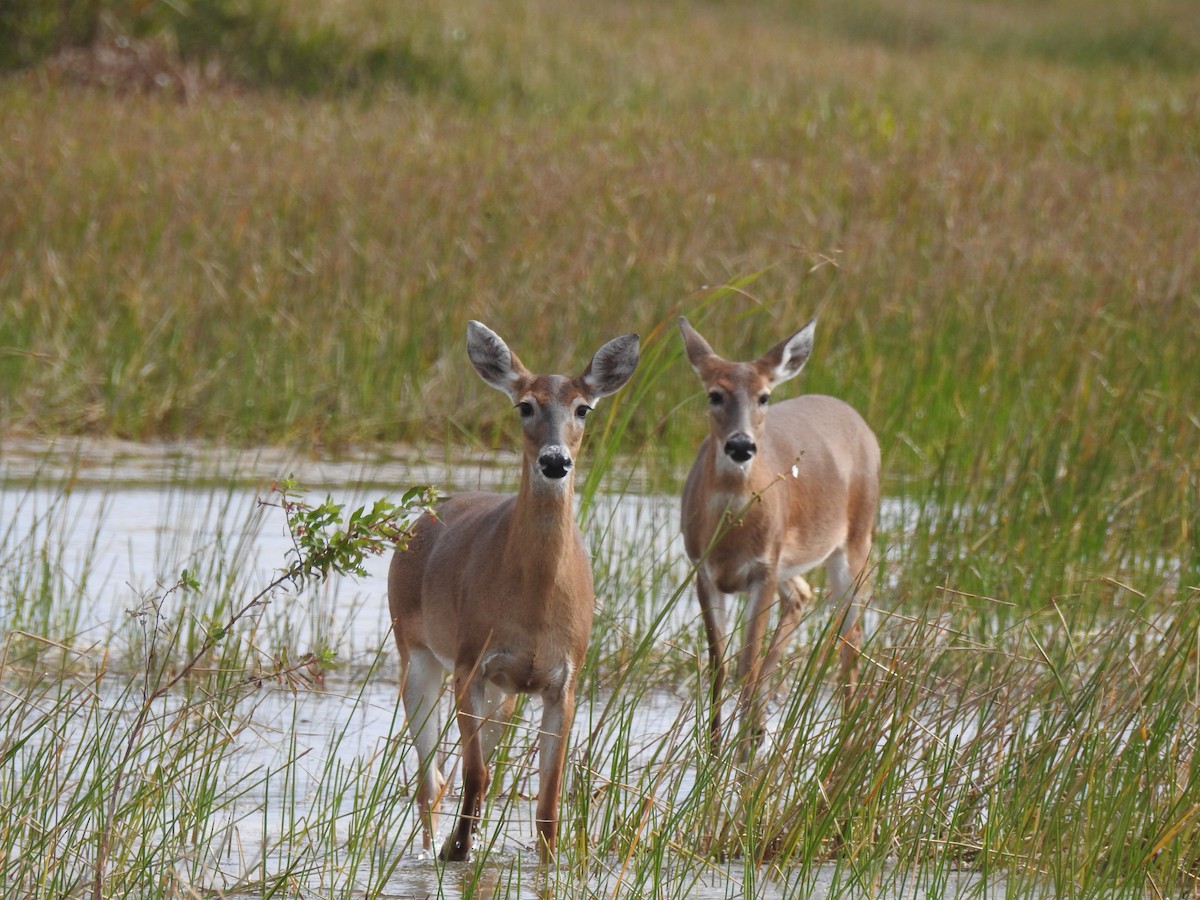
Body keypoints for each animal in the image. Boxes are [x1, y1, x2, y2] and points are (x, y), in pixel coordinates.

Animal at [388, 320, 639, 862]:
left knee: (448, 773)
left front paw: (547, 860)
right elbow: (475, 774)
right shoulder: (470, 663)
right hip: (416, 651)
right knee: (430, 778)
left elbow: (548, 798)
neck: (534, 607)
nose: (555, 461)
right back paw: (430, 848)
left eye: (583, 408)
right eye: (525, 405)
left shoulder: (563, 680)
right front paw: (456, 852)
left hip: (504, 694)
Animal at [677, 316, 880, 754]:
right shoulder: (703, 571)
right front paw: (714, 746)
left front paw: (736, 751)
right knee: (802, 596)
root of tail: (857, 418)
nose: (740, 445)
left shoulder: (763, 570)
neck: (730, 533)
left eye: (764, 396)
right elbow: (719, 663)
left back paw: (845, 730)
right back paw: (760, 724)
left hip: (855, 540)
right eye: (715, 394)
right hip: (791, 563)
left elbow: (746, 662)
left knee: (851, 633)